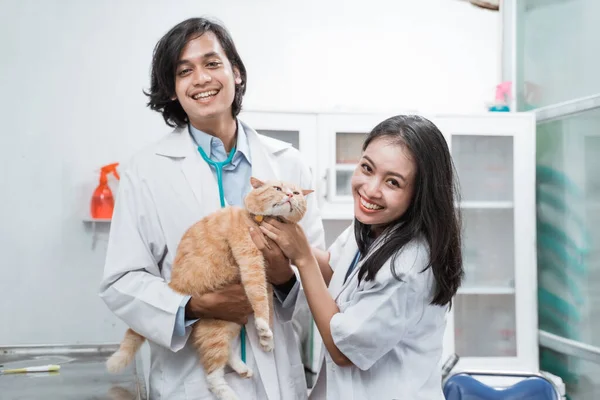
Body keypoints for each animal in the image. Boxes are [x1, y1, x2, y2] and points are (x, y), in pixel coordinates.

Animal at [107, 177, 312, 400]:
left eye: (296, 193)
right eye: (277, 188)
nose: (290, 195)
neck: (259, 220)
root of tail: (175, 285)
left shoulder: (270, 277)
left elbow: (267, 303)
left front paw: (267, 338)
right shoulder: (251, 260)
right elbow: (258, 295)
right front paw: (263, 326)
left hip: (227, 325)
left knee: (225, 353)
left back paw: (242, 368)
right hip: (216, 329)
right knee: (212, 375)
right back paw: (230, 394)